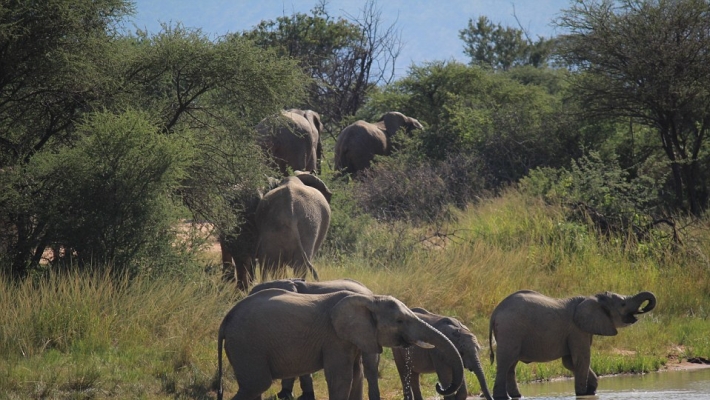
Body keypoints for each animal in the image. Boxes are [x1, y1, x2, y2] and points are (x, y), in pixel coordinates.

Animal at [492, 290, 660, 398]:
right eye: (623, 304)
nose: (643, 309)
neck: (592, 298)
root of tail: (496, 311)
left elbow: (569, 362)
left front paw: (591, 391)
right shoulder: (577, 330)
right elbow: (582, 359)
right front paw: (582, 393)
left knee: (511, 366)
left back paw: (516, 396)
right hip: (510, 331)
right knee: (505, 362)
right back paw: (502, 397)